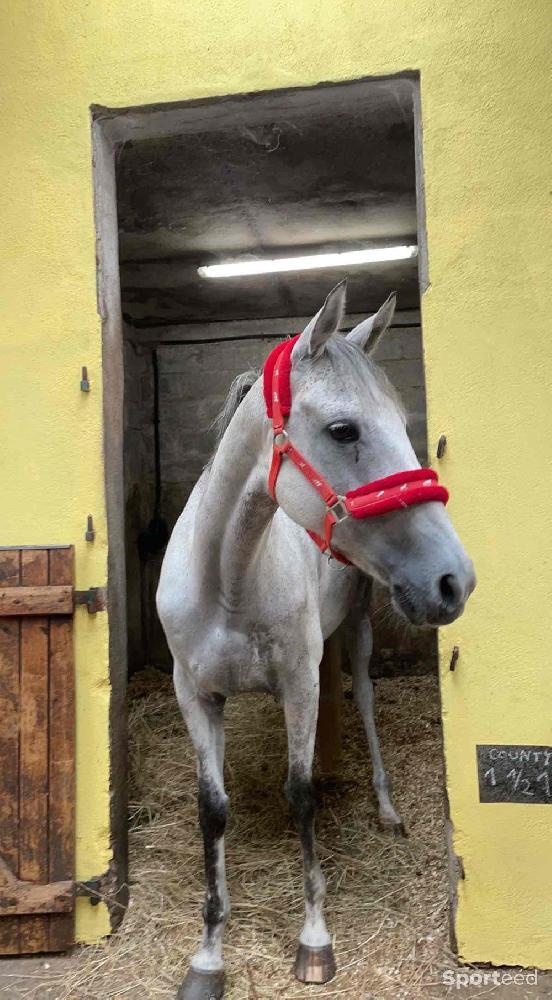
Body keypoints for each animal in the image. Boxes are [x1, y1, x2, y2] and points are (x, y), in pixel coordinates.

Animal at [155, 284, 474, 1000]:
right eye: (342, 430)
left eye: (403, 421)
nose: (454, 580)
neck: (229, 578)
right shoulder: (196, 696)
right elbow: (212, 809)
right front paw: (208, 956)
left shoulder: (298, 684)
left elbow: (301, 797)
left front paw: (314, 940)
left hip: (355, 633)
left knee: (363, 703)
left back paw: (385, 807)